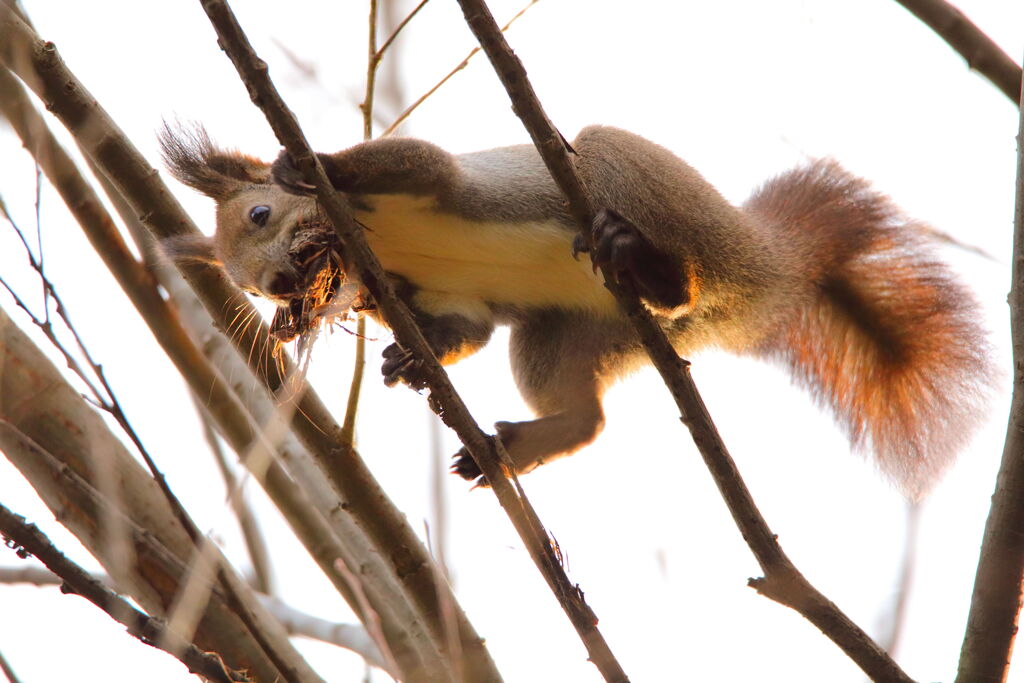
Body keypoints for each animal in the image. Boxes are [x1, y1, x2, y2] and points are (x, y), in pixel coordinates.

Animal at [159, 124, 991, 497]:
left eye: (261, 213)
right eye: (252, 289)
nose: (282, 290)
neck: (365, 246)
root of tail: (768, 272)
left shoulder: (429, 178)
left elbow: (409, 161)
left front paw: (311, 163)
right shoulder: (433, 296)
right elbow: (463, 330)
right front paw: (406, 360)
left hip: (627, 176)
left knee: (674, 267)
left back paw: (648, 264)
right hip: (571, 335)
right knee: (588, 417)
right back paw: (511, 447)